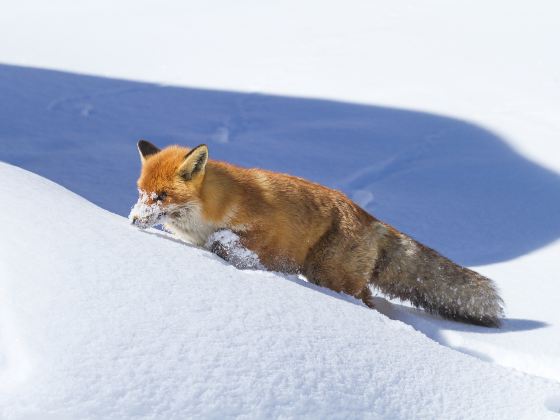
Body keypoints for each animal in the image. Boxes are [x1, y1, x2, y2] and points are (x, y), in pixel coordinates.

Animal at [130, 139, 504, 326]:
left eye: (162, 196)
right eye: (141, 193)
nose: (133, 220)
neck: (214, 207)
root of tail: (372, 219)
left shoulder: (264, 229)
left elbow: (225, 243)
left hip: (328, 273)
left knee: (367, 298)